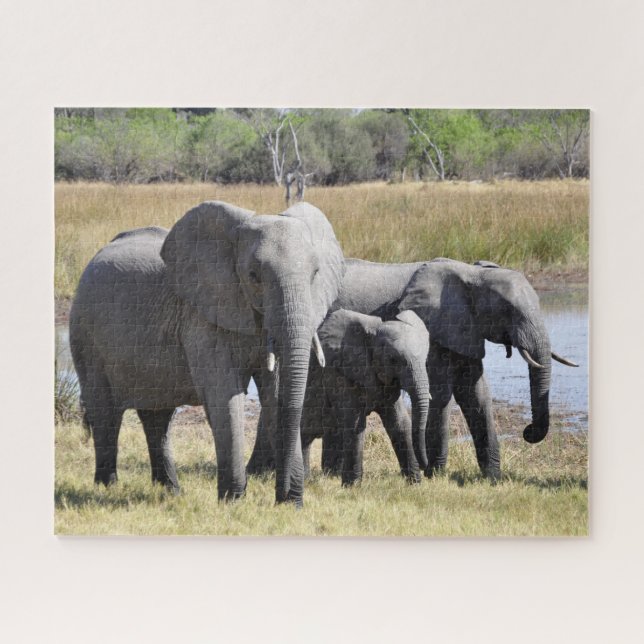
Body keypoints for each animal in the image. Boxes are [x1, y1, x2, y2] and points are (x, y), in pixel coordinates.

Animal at [69, 200, 344, 506]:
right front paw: (233, 501)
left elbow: (275, 394)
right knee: (105, 413)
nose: (287, 498)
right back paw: (106, 488)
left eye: (315, 274)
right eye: (253, 276)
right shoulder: (201, 317)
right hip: (85, 334)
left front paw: (286, 503)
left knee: (158, 418)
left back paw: (171, 491)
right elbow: (224, 395)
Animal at [299, 309, 430, 486]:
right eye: (393, 359)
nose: (425, 466)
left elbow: (400, 423)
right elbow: (355, 424)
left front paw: (415, 484)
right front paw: (352, 487)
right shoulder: (338, 372)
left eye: (425, 358)